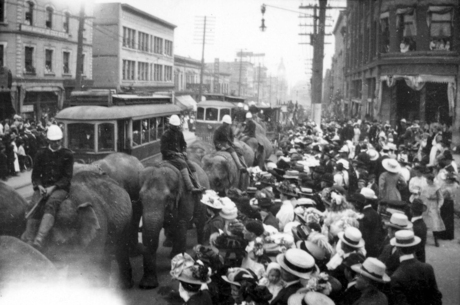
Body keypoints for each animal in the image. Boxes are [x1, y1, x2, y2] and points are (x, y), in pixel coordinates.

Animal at [137, 159, 208, 288]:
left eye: (167, 199)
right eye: (141, 199)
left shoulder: (185, 196)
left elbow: (181, 225)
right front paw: (148, 285)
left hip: (202, 196)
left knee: (200, 223)